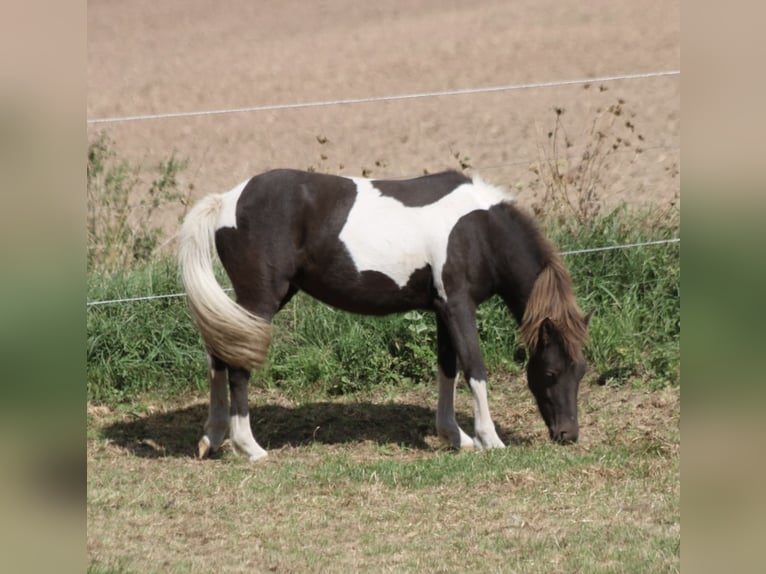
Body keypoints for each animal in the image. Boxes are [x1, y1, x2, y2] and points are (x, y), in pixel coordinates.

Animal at [179, 168, 591, 461]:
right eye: (550, 372)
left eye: (581, 371)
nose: (568, 435)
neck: (480, 230)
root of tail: (226, 201)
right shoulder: (459, 305)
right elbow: (475, 368)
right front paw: (490, 439)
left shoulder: (442, 310)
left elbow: (448, 369)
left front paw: (454, 435)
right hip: (261, 300)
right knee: (237, 366)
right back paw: (249, 447)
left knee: (219, 354)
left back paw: (211, 439)